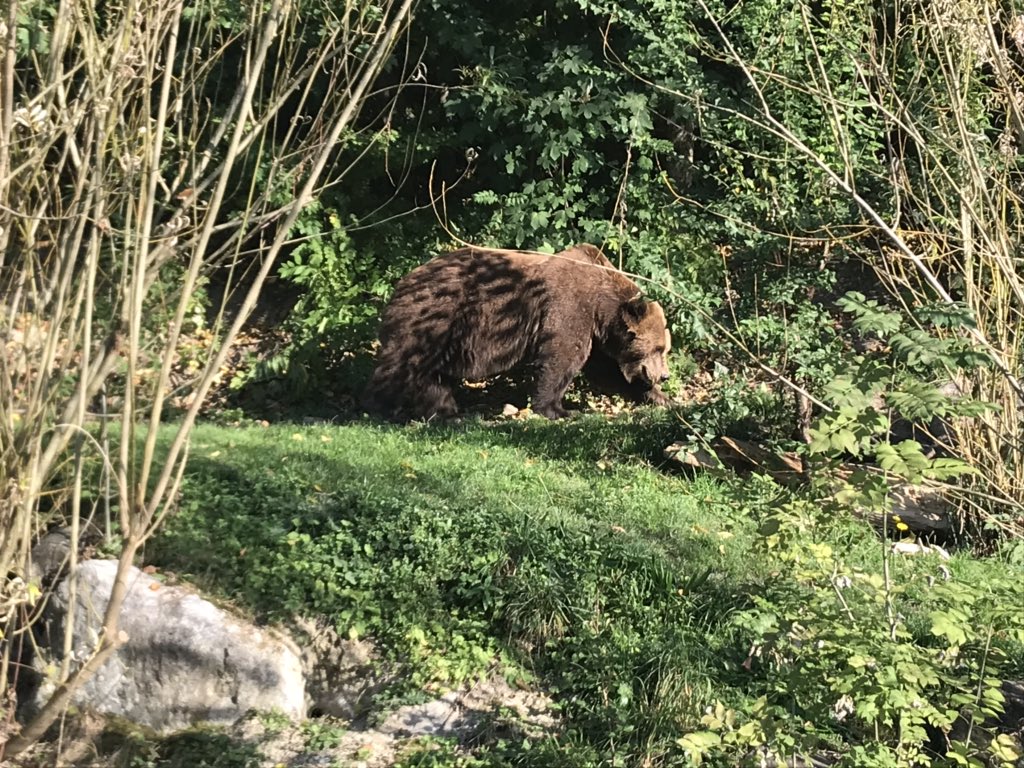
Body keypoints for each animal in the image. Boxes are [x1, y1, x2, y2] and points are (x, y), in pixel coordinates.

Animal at [362, 243, 672, 420]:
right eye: (658, 348)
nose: (664, 376)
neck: (601, 306)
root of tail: (402, 281)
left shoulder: (595, 335)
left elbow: (606, 371)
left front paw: (660, 398)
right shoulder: (569, 309)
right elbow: (563, 358)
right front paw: (558, 409)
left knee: (430, 373)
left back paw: (445, 410)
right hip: (435, 316)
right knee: (403, 362)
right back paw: (379, 407)